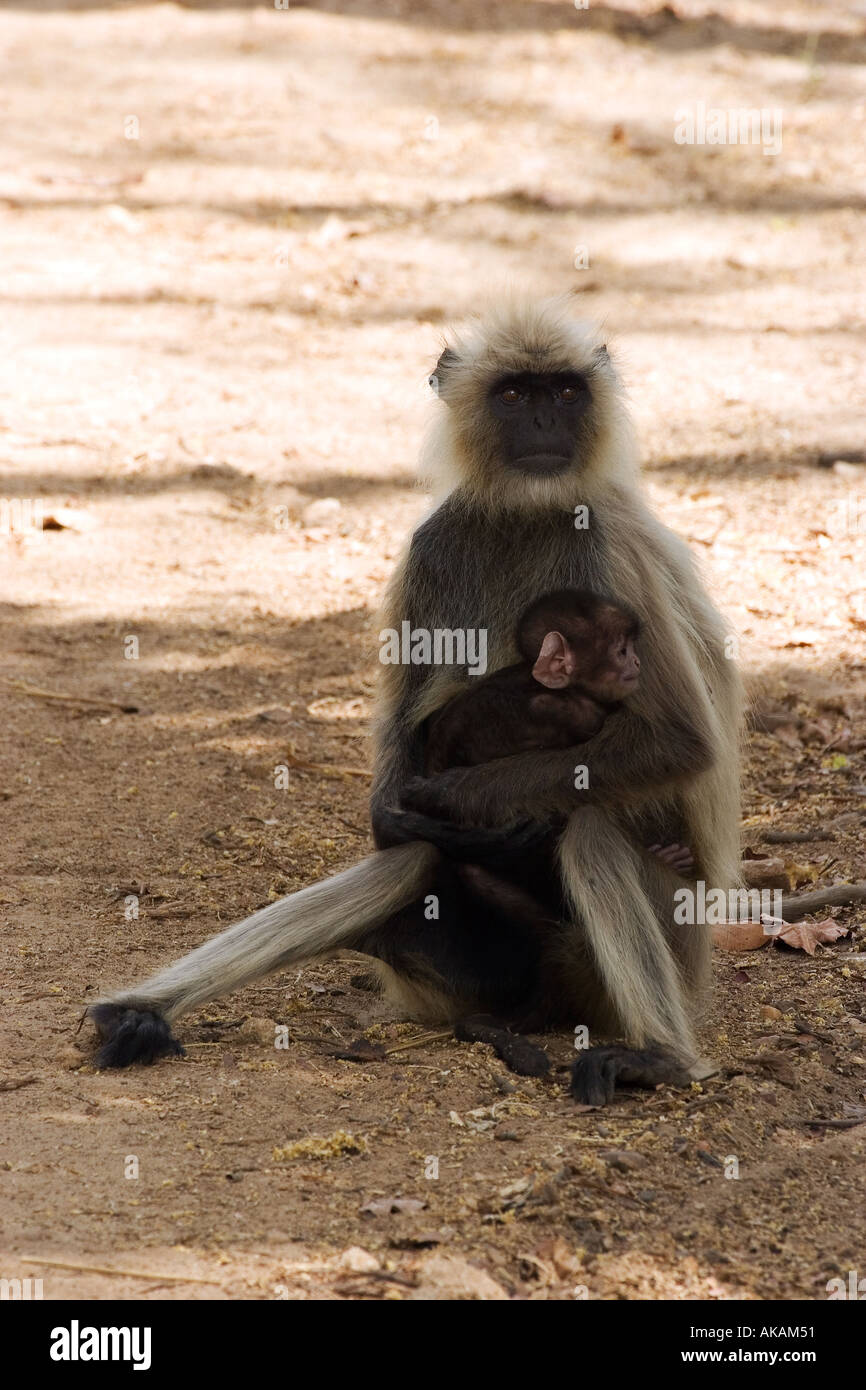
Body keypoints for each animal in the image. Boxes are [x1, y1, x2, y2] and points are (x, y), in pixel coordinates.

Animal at [94, 298, 745, 1100]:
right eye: (514, 395)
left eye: (565, 393)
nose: (544, 422)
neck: (530, 513)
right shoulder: (434, 543)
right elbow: (403, 760)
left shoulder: (609, 540)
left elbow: (678, 740)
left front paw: (469, 802)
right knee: (409, 858)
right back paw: (141, 1012)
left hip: (651, 950)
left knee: (589, 830)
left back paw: (660, 1056)